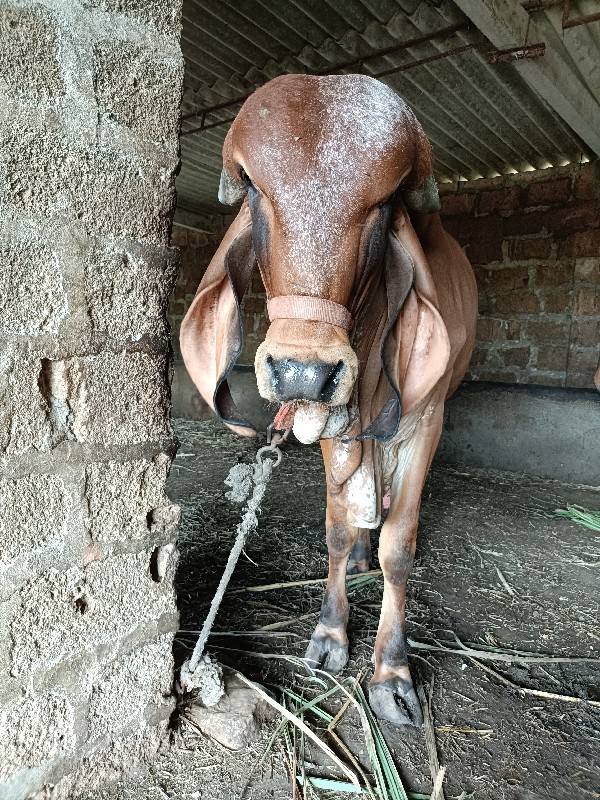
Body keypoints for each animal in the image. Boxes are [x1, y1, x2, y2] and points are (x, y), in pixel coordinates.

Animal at [182, 73, 478, 724]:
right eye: (256, 192)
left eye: (381, 207)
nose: (301, 372)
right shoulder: (326, 428)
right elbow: (338, 530)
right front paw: (329, 633)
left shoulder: (427, 420)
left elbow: (400, 546)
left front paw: (391, 672)